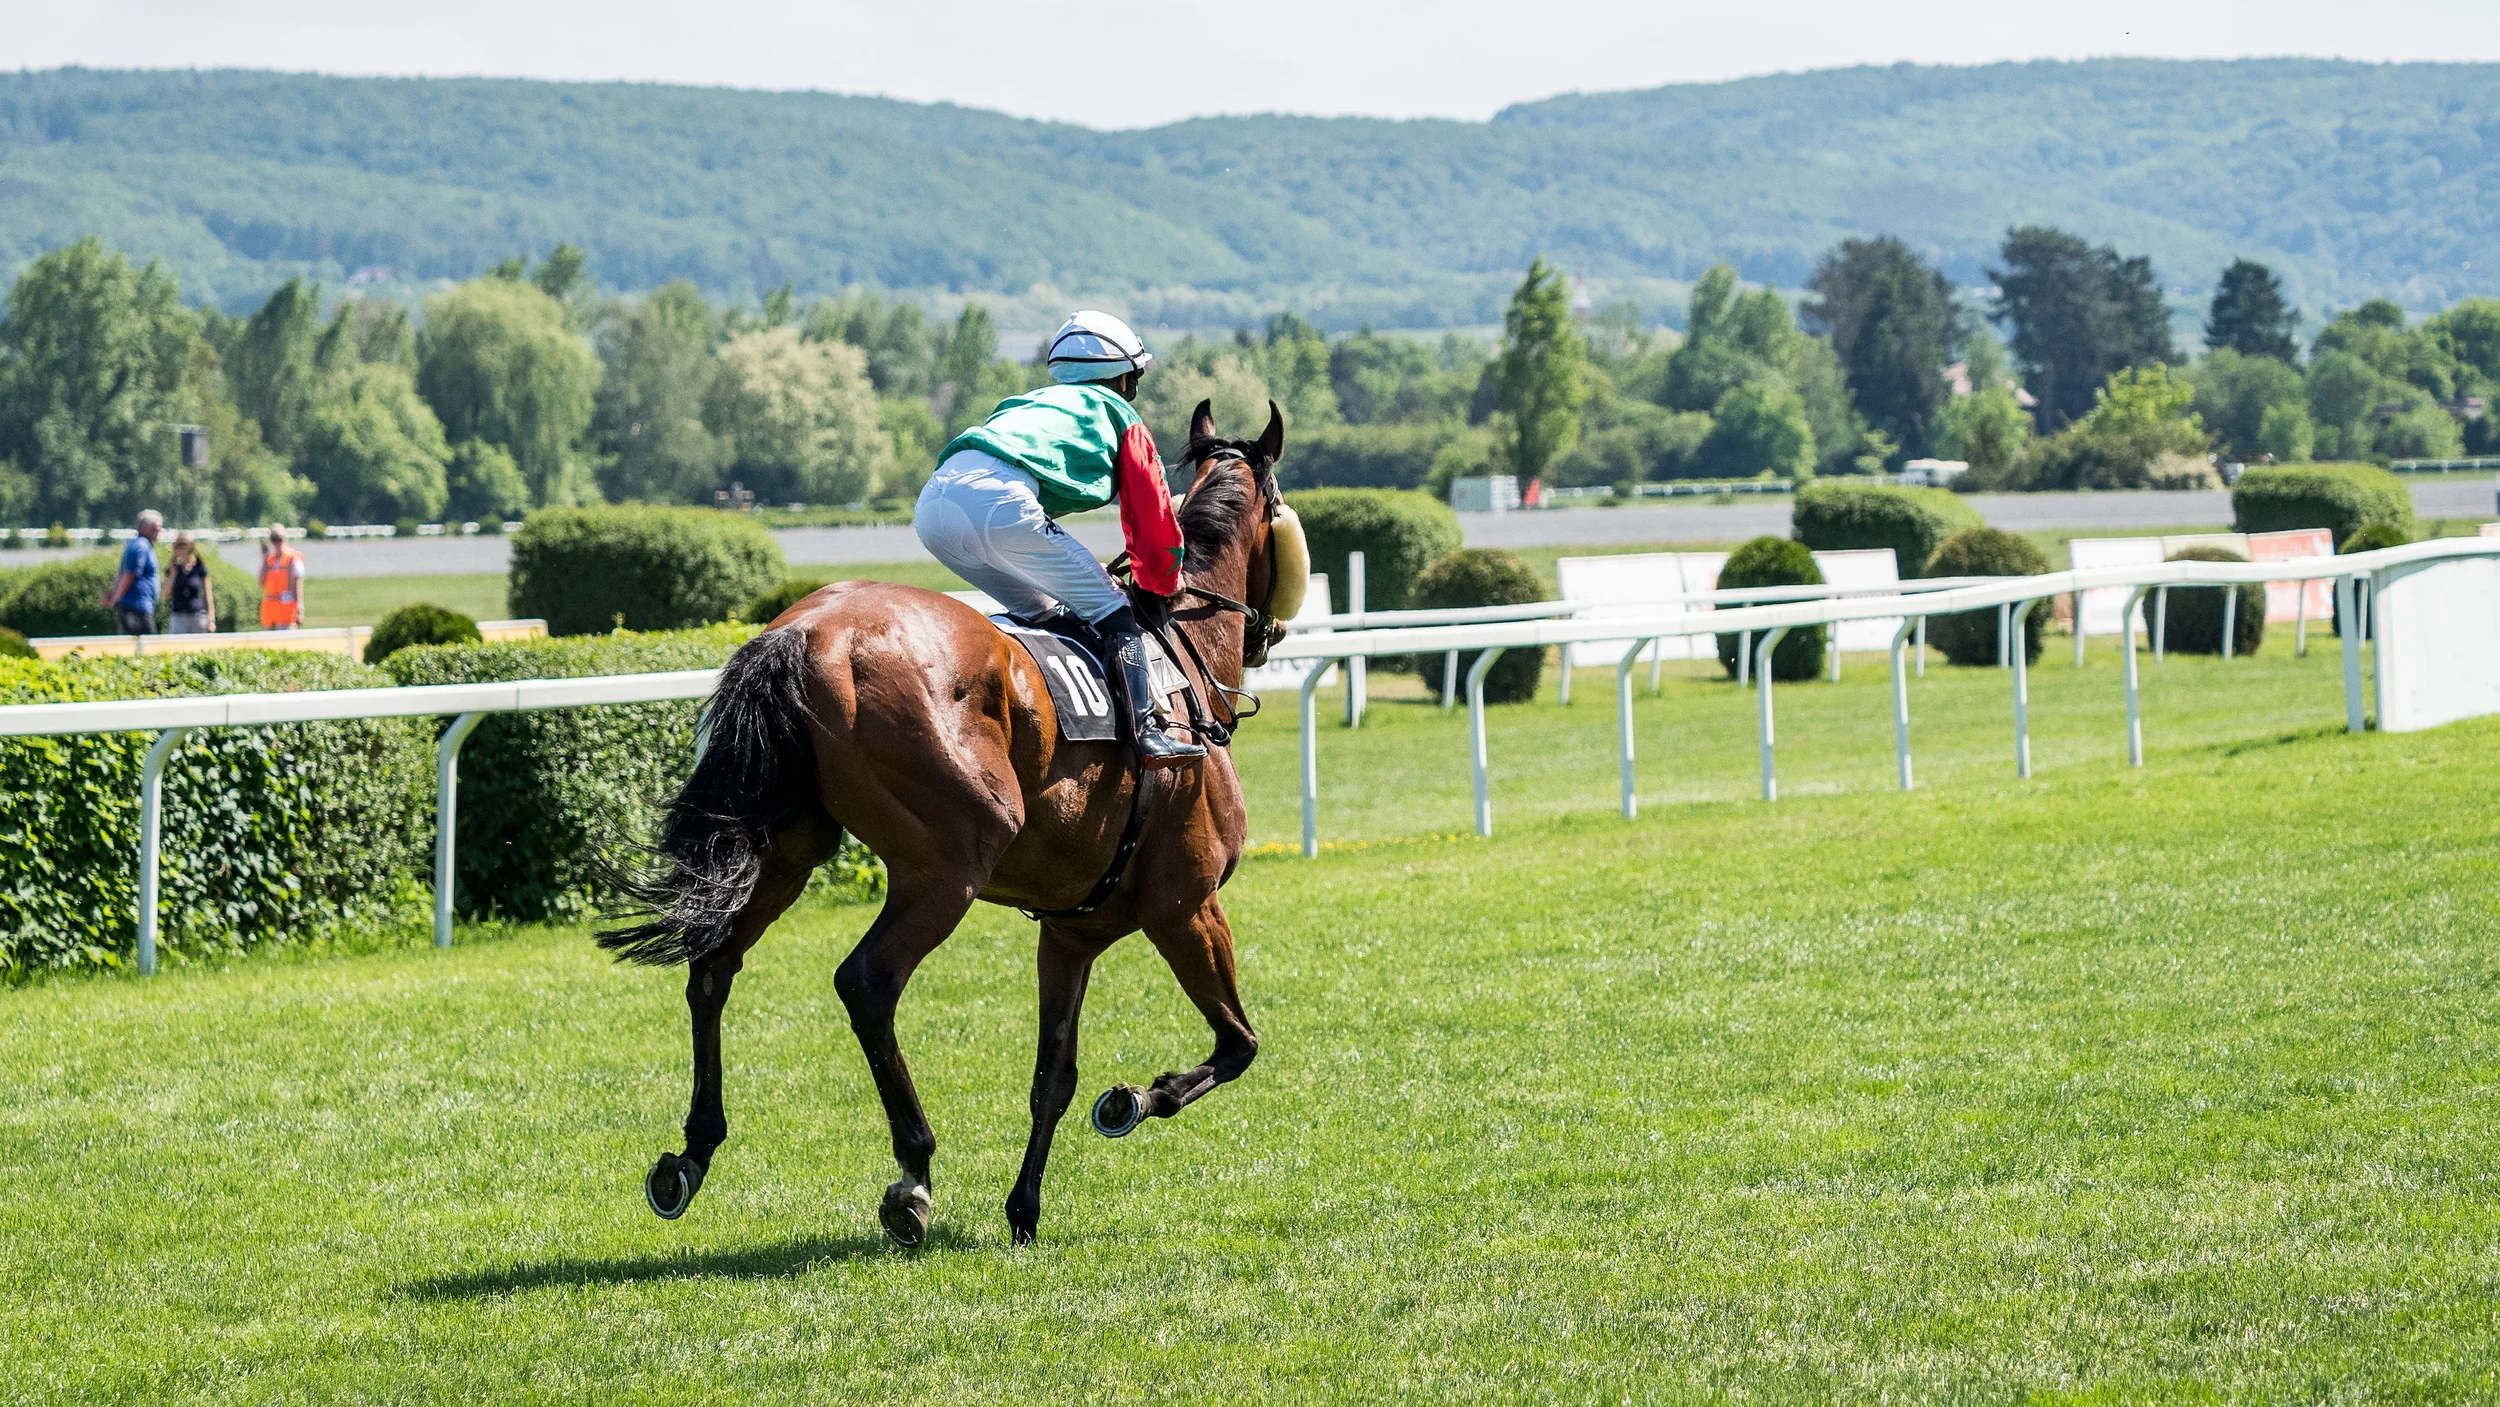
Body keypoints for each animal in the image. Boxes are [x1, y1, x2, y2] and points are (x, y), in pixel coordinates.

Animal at [600, 402, 1310, 1249]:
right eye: (1282, 510)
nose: (1273, 632)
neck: (1184, 663)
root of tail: (804, 632)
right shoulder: (1186, 902)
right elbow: (1238, 1042)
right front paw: (1134, 1098)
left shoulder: (1072, 930)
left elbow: (1053, 1075)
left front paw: (1025, 1207)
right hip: (951, 861)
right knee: (866, 982)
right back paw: (913, 1171)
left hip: (787, 845)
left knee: (714, 965)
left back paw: (692, 1152)